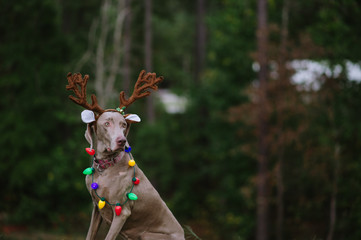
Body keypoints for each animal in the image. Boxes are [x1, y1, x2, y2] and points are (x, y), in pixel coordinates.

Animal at [65, 70, 183, 239]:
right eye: (107, 123)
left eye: (123, 125)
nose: (122, 140)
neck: (105, 167)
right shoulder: (96, 207)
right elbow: (89, 235)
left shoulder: (122, 211)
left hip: (148, 235)